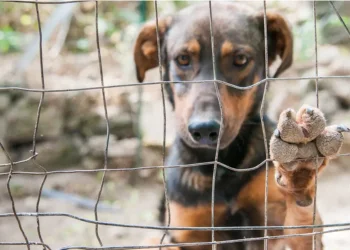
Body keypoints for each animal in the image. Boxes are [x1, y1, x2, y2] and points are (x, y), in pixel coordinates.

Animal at [133, 2, 348, 250]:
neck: (221, 165)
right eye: (183, 59)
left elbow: (300, 225)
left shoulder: (273, 220)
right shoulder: (189, 233)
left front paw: (300, 171)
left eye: (241, 59)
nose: (204, 130)